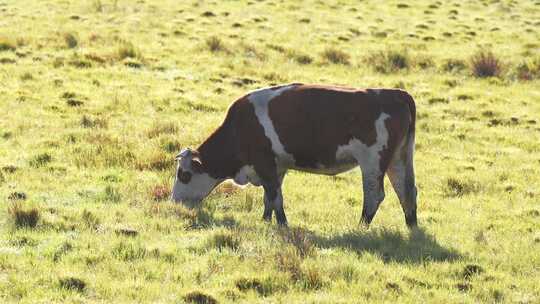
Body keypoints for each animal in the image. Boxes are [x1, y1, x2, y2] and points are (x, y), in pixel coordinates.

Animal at [172, 83, 418, 228]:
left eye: (184, 174)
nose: (174, 201)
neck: (239, 127)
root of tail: (396, 94)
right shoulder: (277, 167)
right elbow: (269, 198)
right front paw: (265, 221)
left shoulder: (266, 165)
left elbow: (275, 197)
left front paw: (282, 224)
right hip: (398, 159)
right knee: (406, 191)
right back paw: (411, 226)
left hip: (373, 162)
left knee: (374, 195)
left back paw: (360, 228)